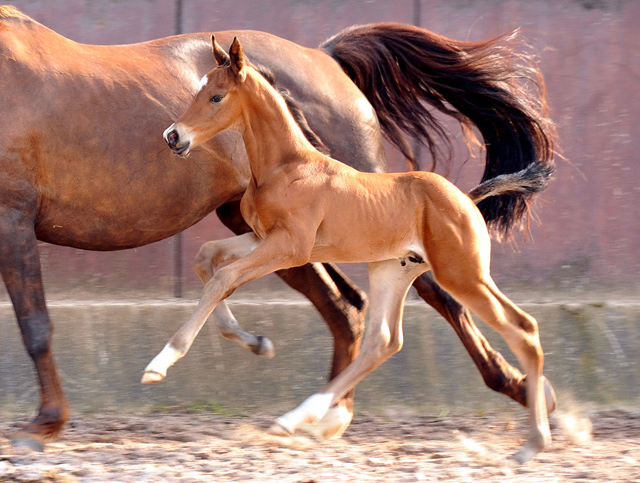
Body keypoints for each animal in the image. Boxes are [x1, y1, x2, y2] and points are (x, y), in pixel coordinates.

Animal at [148, 38, 552, 466]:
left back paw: (532, 444)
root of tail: (467, 198)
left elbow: (224, 276)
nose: (173, 136)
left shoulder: (291, 246)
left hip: (462, 273)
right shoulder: (262, 238)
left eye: (216, 96)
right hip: (392, 270)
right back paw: (296, 419)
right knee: (384, 341)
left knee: (523, 327)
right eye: (198, 90)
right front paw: (251, 340)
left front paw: (160, 363)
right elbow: (206, 258)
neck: (286, 166)